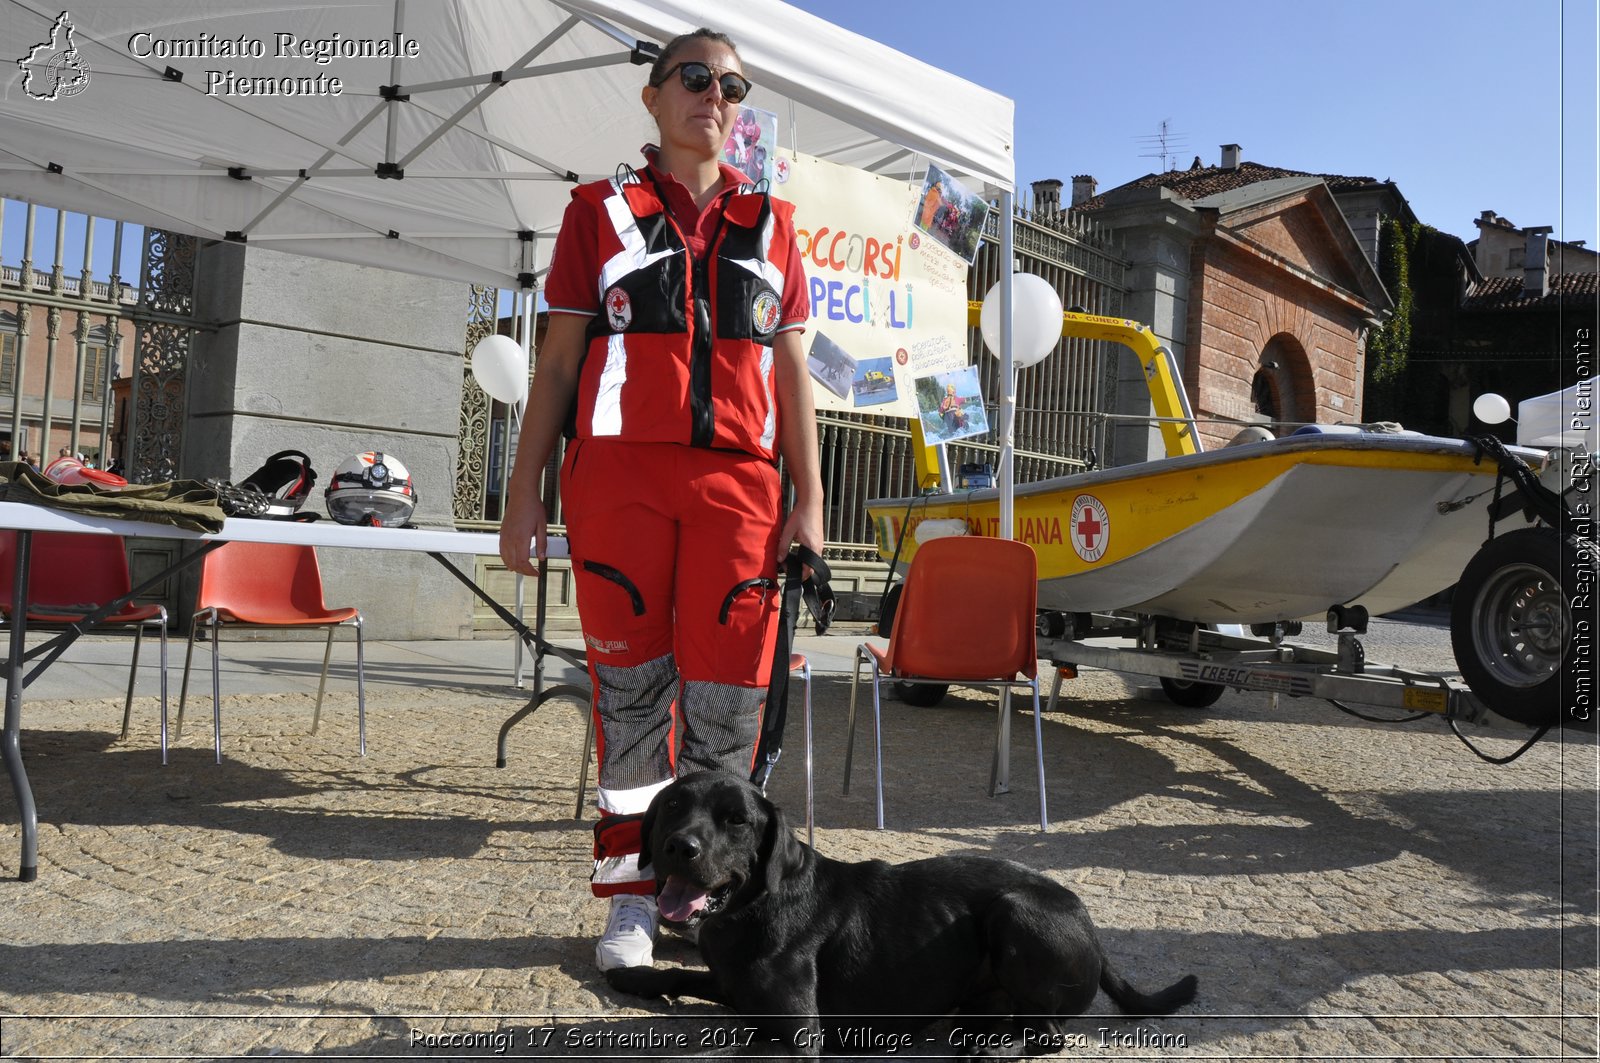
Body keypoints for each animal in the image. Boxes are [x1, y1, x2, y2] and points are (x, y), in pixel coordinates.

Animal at [604, 771, 1196, 1056]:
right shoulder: (732, 985)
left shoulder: (798, 1032)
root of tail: (1093, 928)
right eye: (673, 806)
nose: (680, 847)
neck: (754, 908)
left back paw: (999, 1050)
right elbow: (682, 975)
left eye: (737, 821)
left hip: (1017, 911)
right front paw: (635, 976)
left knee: (1050, 1033)